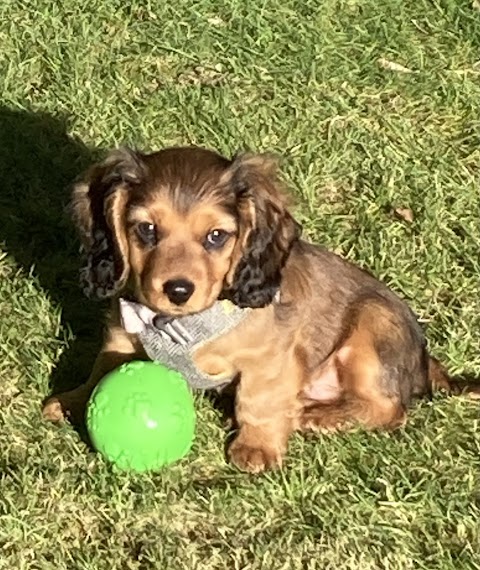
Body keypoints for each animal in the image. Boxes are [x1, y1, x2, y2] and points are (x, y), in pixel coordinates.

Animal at [43, 145, 470, 470]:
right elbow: (102, 367)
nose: (178, 290)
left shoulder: (270, 355)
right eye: (147, 229)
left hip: (372, 327)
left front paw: (257, 446)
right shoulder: (122, 332)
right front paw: (74, 400)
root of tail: (424, 361)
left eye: (216, 236)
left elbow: (258, 398)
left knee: (389, 408)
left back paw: (319, 416)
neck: (182, 324)